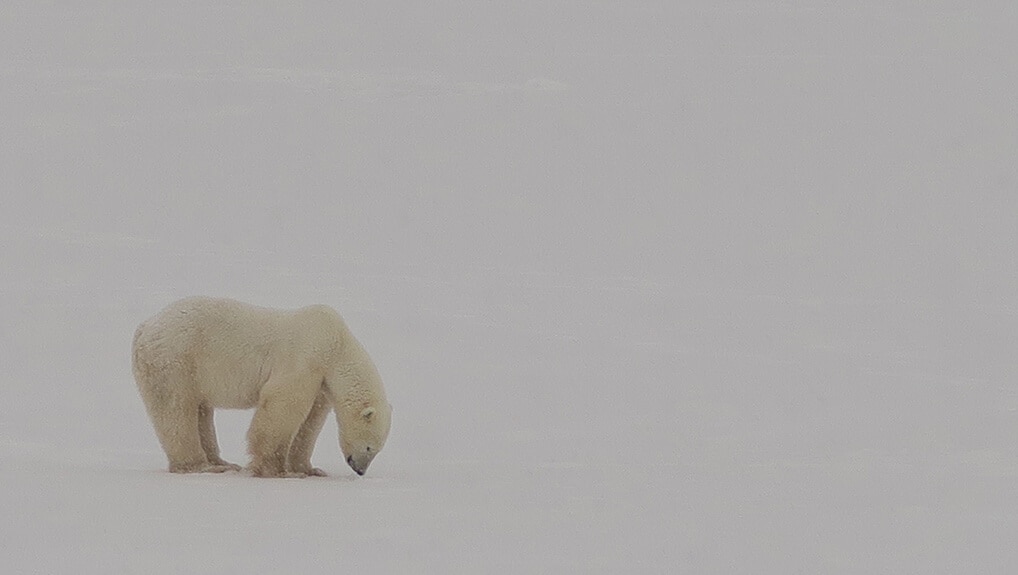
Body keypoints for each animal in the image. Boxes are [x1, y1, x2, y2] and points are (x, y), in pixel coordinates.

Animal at [131, 296, 392, 478]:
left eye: (377, 450)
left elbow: (310, 423)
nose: (360, 470)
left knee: (201, 411)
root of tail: (144, 327)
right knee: (176, 410)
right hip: (176, 359)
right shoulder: (303, 357)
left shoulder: (321, 382)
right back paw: (202, 466)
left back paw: (221, 462)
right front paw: (277, 470)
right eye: (370, 447)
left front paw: (310, 469)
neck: (337, 345)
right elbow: (282, 405)